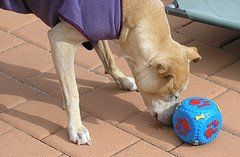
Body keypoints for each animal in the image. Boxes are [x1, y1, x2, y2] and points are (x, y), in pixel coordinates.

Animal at [0, 0, 202, 145]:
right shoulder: (60, 41)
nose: (172, 122)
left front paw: (122, 80)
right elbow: (72, 91)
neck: (127, 9)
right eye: (173, 95)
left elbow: (108, 58)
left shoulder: (97, 30)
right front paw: (76, 128)